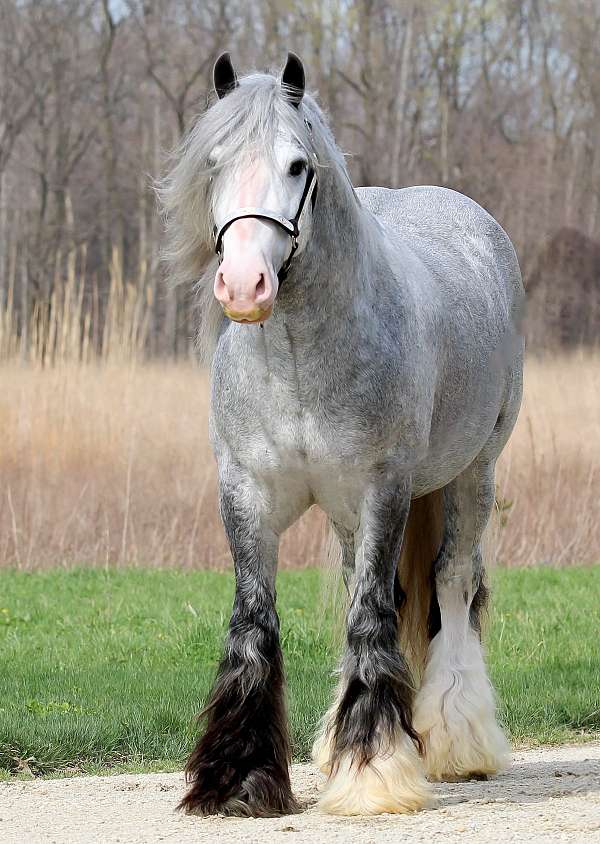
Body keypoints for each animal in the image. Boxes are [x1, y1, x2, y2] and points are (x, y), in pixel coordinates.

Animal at [158, 52, 524, 818]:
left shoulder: (386, 491)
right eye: (215, 161)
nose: (244, 285)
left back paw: (455, 741)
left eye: (298, 165)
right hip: (347, 515)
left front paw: (374, 772)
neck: (301, 359)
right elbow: (255, 623)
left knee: (450, 585)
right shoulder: (247, 494)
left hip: (471, 477)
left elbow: (370, 619)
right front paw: (239, 777)